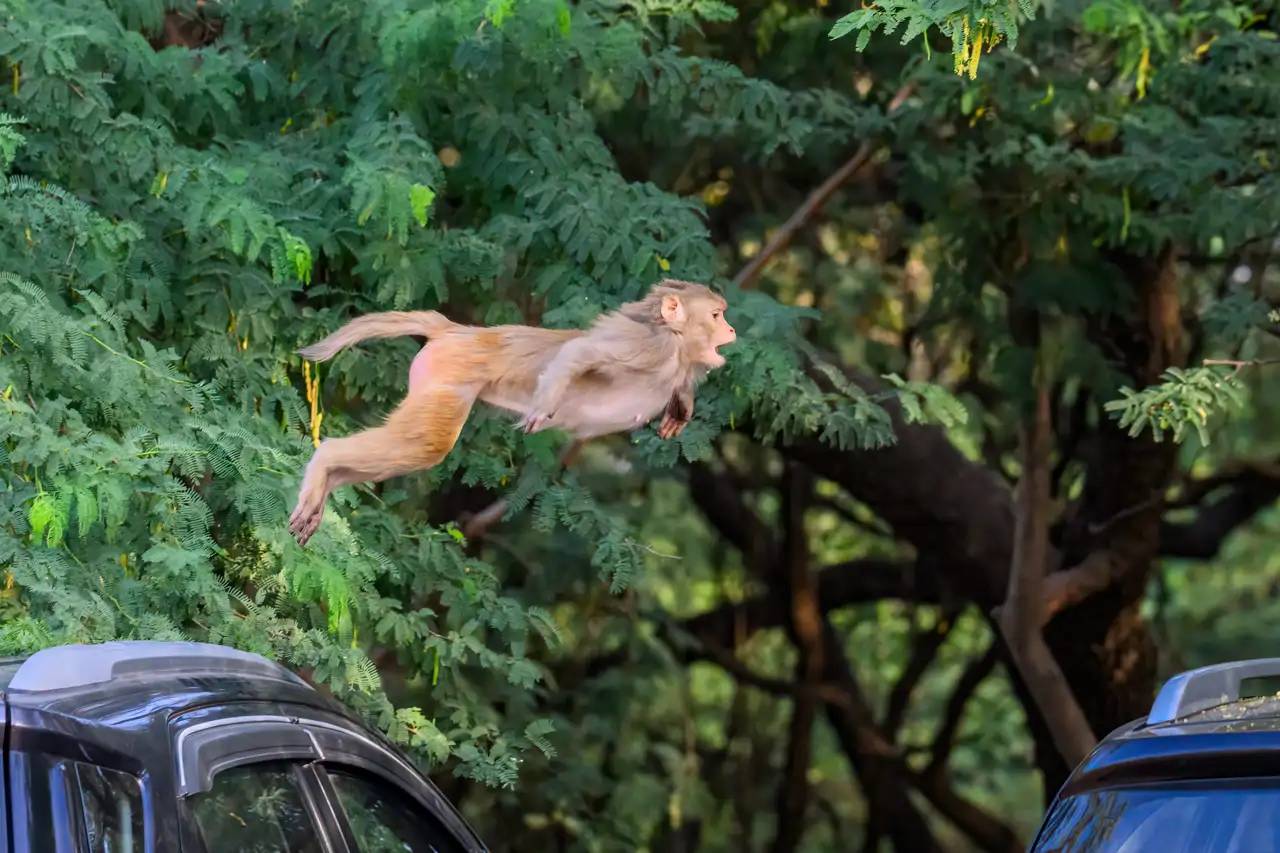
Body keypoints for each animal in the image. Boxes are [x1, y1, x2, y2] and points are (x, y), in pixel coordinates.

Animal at [287, 280, 736, 546]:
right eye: (716, 315)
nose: (731, 330)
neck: (675, 345)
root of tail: (457, 331)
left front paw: (683, 403)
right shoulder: (646, 346)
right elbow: (581, 351)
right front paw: (545, 403)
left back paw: (326, 487)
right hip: (452, 374)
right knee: (430, 444)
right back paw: (325, 462)